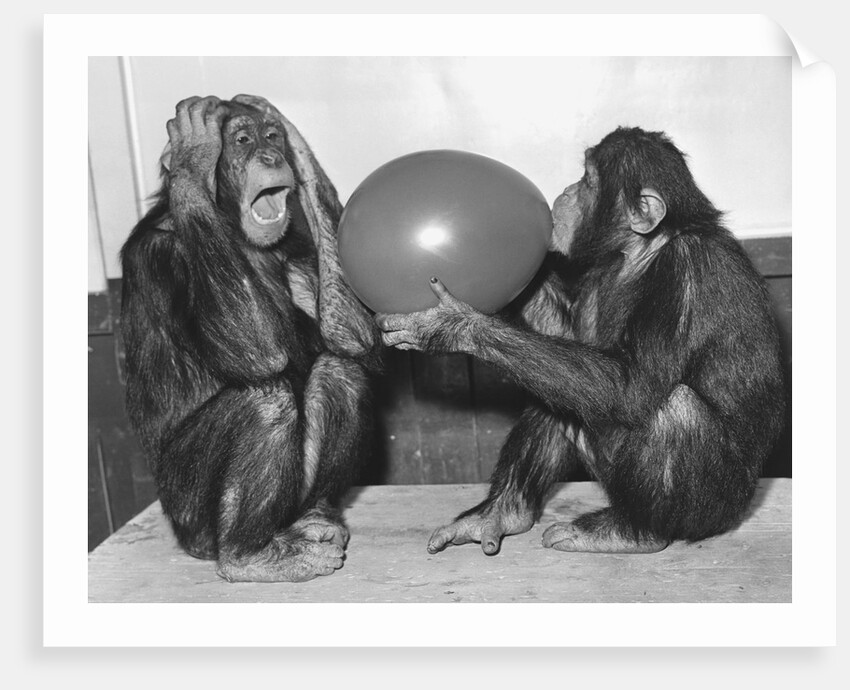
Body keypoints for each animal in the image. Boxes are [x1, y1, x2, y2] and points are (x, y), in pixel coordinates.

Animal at [120, 95, 380, 581]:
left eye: (271, 136)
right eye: (242, 139)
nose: (273, 155)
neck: (233, 229)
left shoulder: (296, 249)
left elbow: (356, 337)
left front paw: (302, 154)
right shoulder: (159, 256)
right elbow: (256, 353)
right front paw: (191, 157)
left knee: (343, 371)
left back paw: (314, 518)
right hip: (190, 517)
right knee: (265, 400)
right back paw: (248, 556)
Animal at [376, 127, 785, 555]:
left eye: (588, 179)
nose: (567, 190)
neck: (644, 249)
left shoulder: (688, 270)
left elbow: (632, 384)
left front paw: (450, 325)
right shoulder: (598, 276)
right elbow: (568, 341)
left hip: (714, 509)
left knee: (674, 410)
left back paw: (634, 531)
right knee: (557, 384)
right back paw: (500, 513)